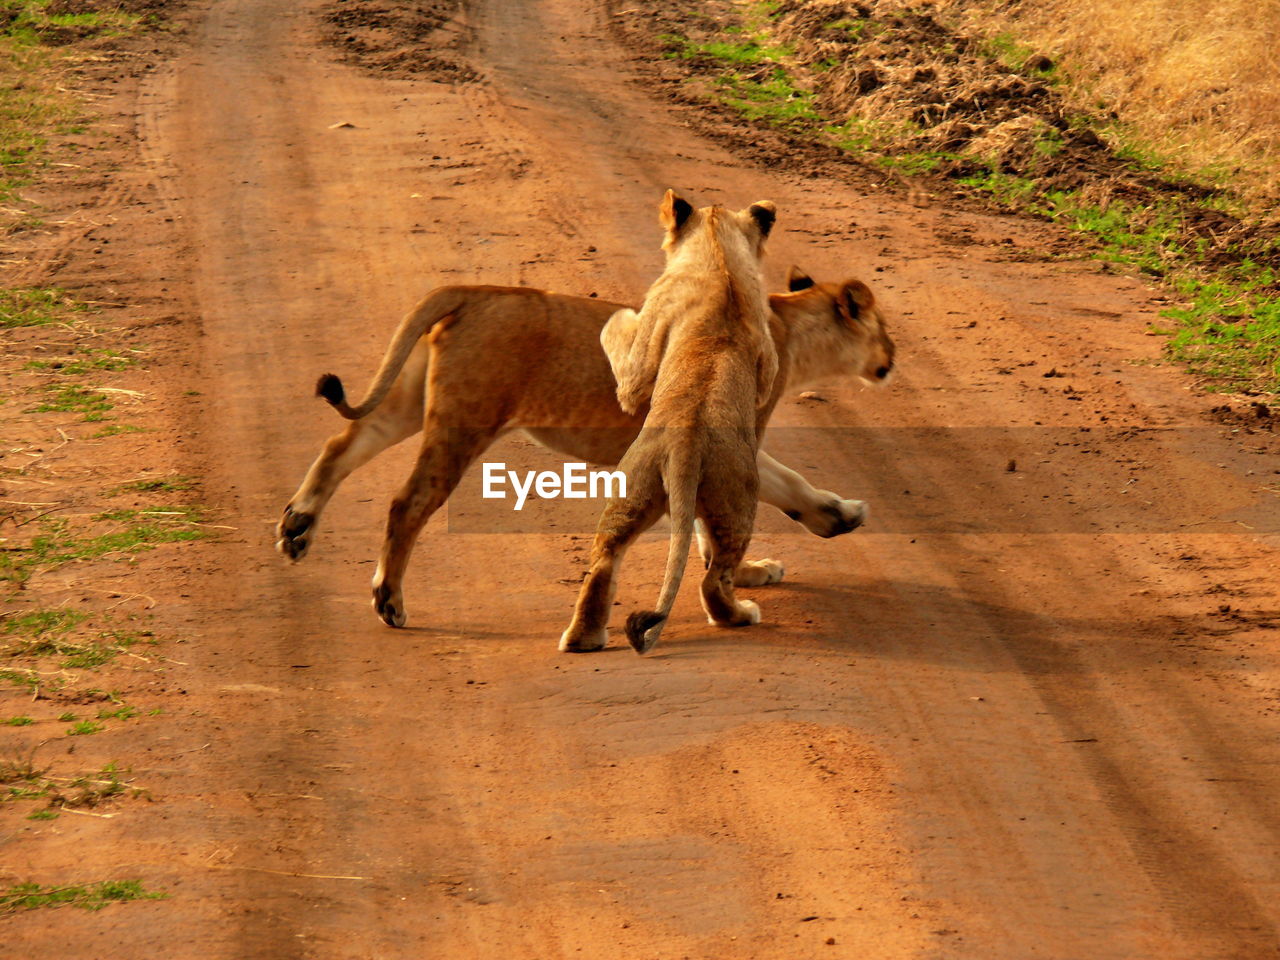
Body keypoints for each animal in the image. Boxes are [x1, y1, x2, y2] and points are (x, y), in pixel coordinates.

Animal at [272, 261, 890, 640]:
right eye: (885, 329)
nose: (894, 357)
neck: (789, 327)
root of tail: (478, 290)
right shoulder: (729, 435)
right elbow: (755, 496)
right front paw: (763, 562)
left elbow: (748, 499)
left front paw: (826, 523)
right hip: (466, 420)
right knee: (407, 504)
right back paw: (389, 601)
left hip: (408, 401)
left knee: (342, 444)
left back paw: (297, 528)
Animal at [563, 189, 778, 655]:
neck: (718, 254)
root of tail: (684, 447)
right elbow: (617, 330)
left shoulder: (639, 369)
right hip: (738, 500)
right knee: (715, 578)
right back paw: (742, 613)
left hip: (631, 492)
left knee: (605, 559)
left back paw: (582, 638)